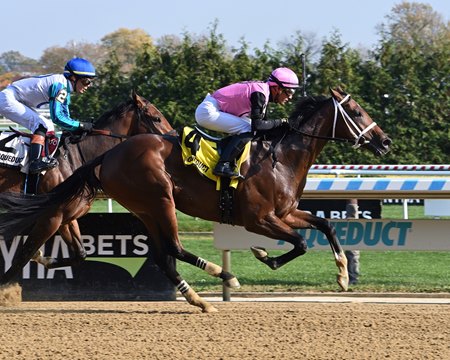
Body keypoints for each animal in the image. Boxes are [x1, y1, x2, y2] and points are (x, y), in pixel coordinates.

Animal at [0, 90, 173, 268]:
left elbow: (80, 254)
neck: (75, 157)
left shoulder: (65, 217)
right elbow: (22, 257)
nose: (172, 138)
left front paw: (43, 258)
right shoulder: (49, 217)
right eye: (157, 118)